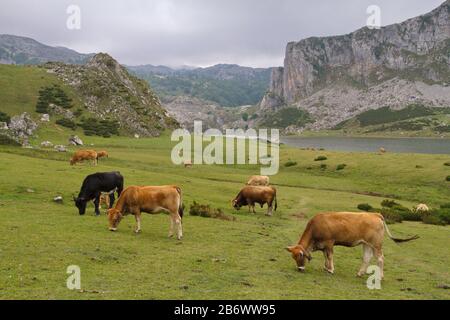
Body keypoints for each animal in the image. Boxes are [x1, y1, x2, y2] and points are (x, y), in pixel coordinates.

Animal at [286, 212, 420, 278]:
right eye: (293, 257)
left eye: (300, 256)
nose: (300, 269)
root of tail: (375, 214)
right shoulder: (324, 246)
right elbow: (325, 256)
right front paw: (326, 267)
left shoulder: (329, 243)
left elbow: (329, 256)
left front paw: (331, 269)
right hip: (367, 244)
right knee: (367, 258)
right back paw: (360, 273)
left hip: (376, 244)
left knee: (380, 258)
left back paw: (380, 276)